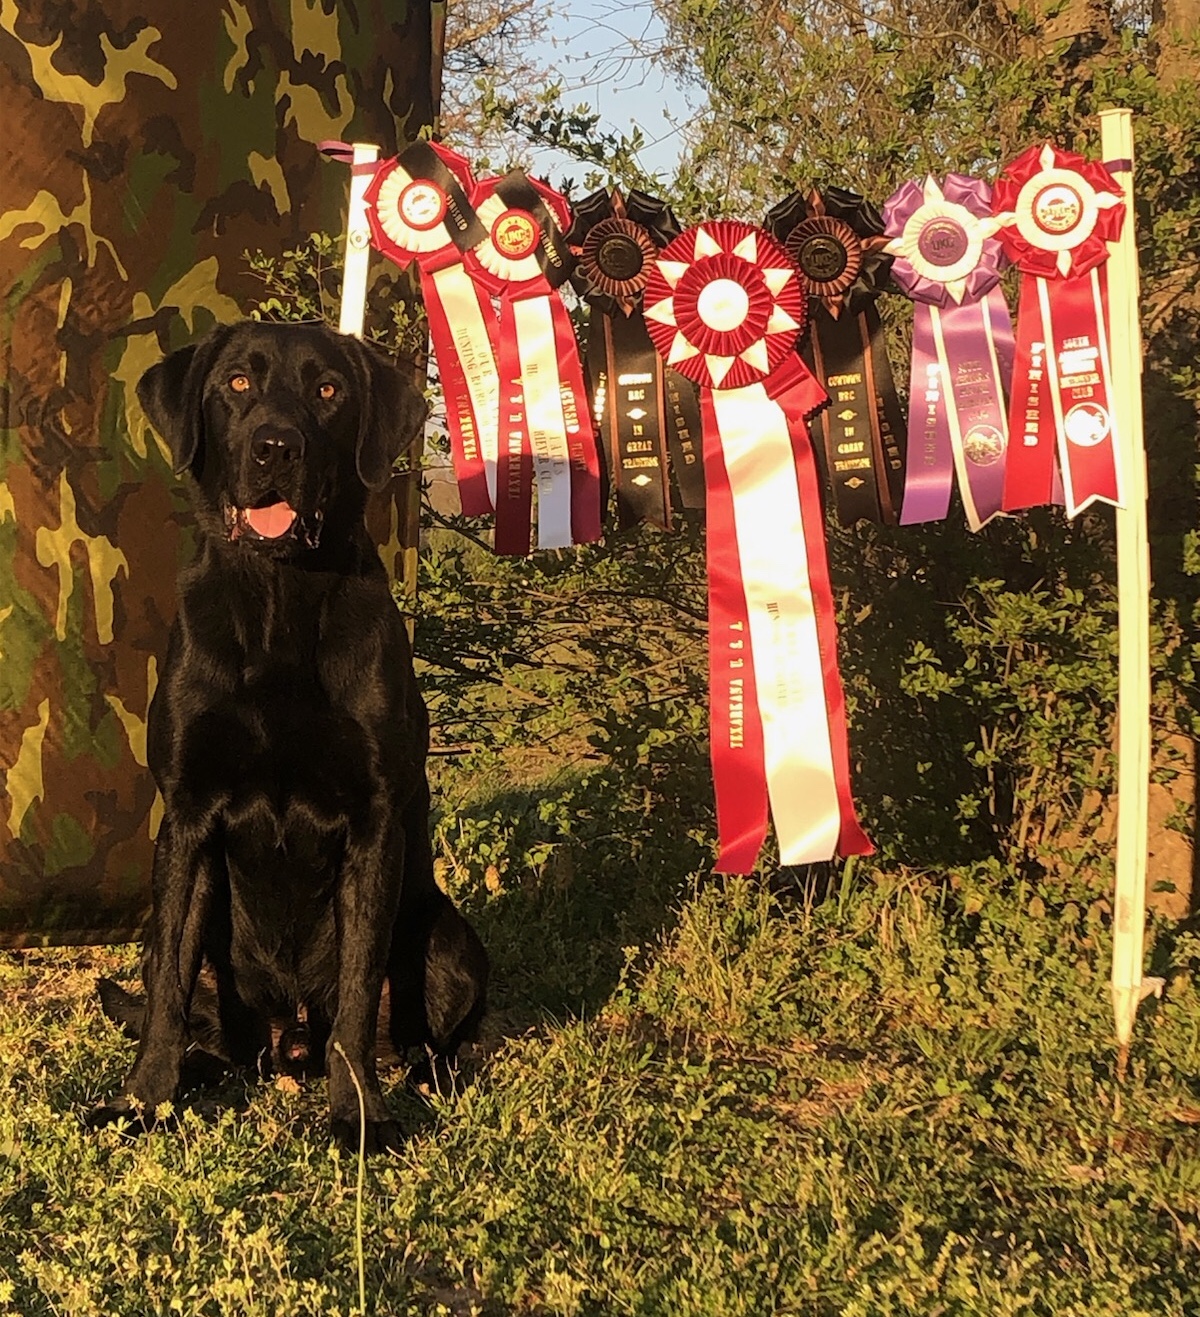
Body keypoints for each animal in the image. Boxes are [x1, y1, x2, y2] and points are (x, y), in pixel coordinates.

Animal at [88, 321, 492, 1153]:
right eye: (237, 384)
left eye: (328, 390)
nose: (276, 446)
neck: (278, 601)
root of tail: (288, 1041)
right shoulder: (188, 814)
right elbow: (167, 994)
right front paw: (140, 1103)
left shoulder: (374, 824)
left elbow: (357, 996)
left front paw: (359, 1117)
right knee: (197, 1018)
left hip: (446, 937)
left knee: (419, 1032)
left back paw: (428, 1077)